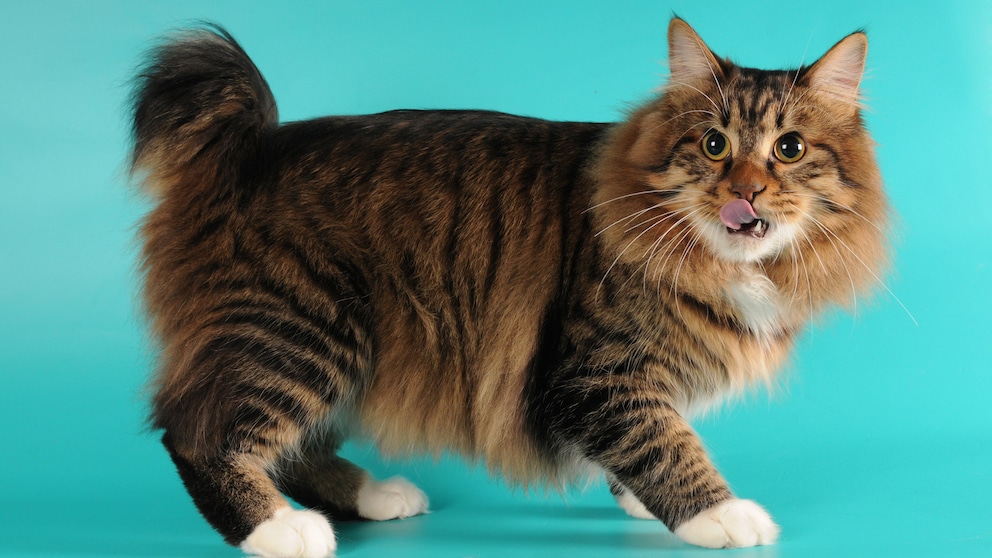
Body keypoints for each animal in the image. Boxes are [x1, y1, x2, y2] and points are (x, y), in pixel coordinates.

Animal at [128, 16, 888, 556]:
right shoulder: (591, 372)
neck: (723, 264)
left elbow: (654, 433)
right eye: (714, 145)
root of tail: (252, 150)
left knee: (293, 447)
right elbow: (663, 440)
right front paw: (719, 514)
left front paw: (639, 500)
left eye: (789, 149)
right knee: (197, 433)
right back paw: (282, 531)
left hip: (346, 354)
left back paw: (373, 495)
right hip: (302, 331)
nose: (746, 192)